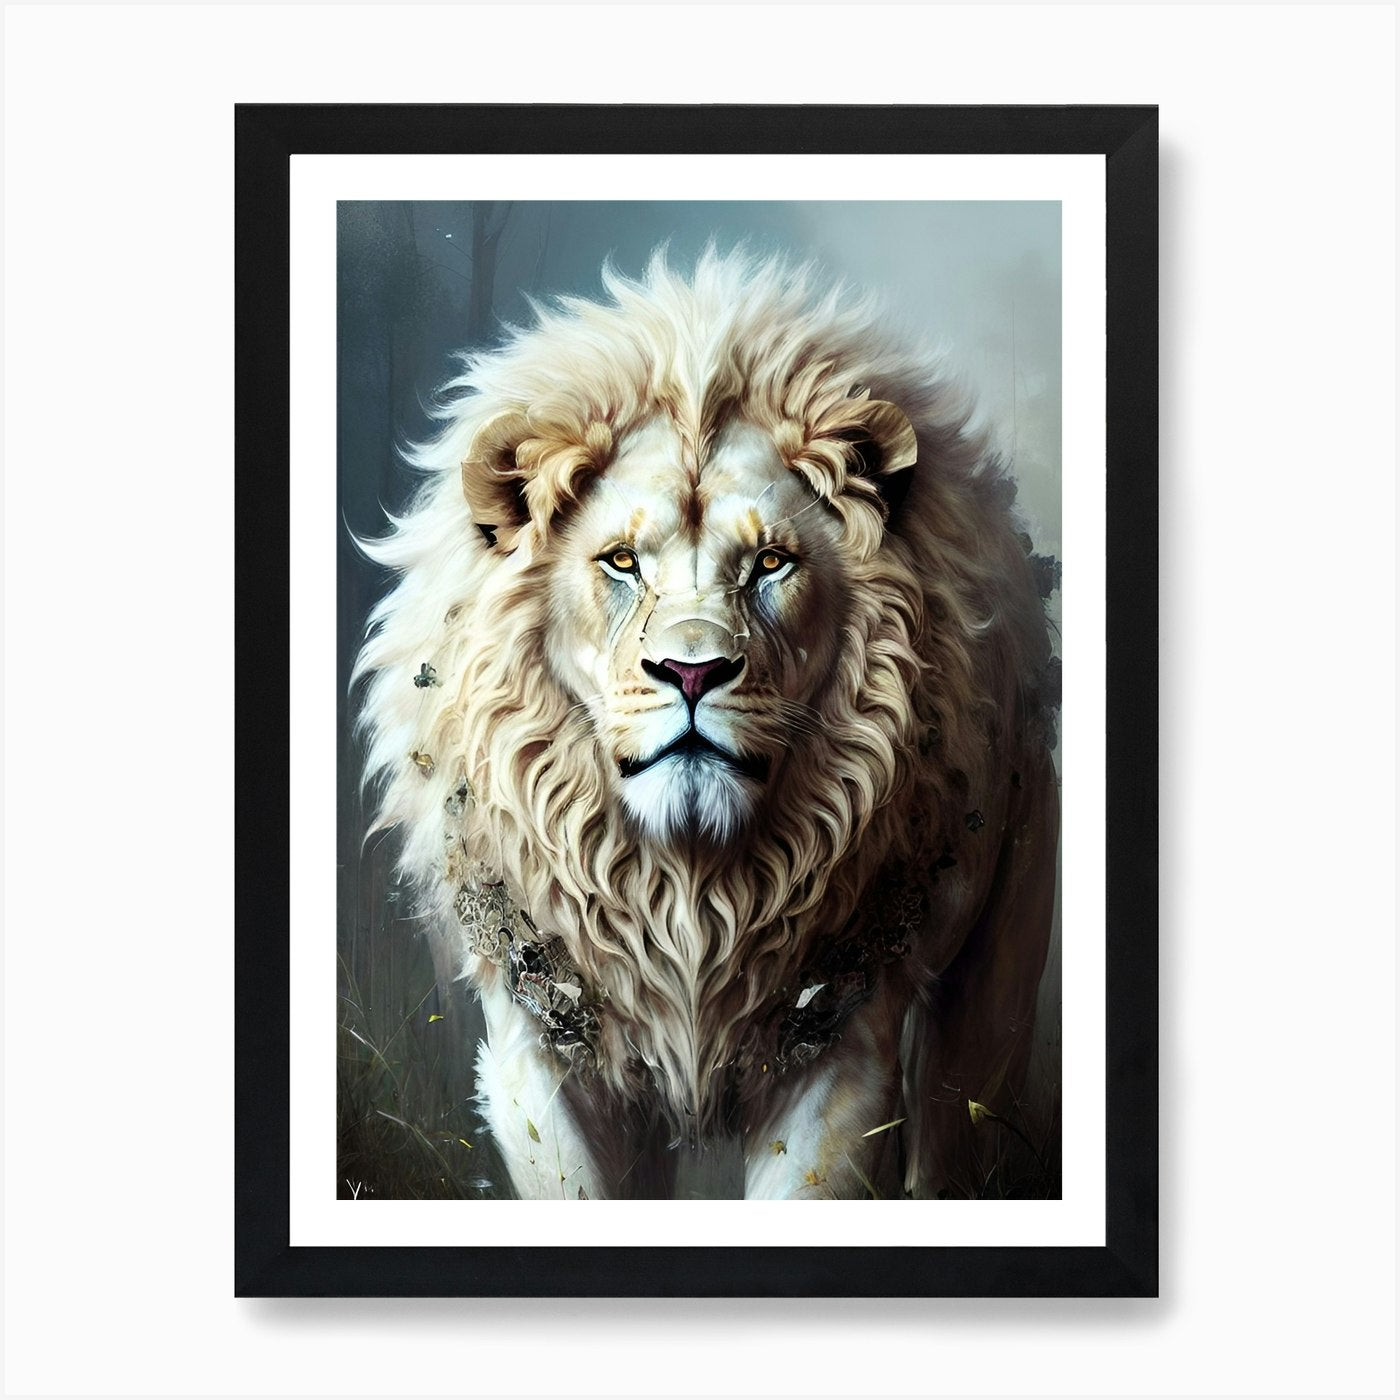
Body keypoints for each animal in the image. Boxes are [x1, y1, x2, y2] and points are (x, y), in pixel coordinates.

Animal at [353, 247, 1060, 1200]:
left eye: (770, 563)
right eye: (621, 561)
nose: (692, 672)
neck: (687, 889)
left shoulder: (838, 1051)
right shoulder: (542, 1051)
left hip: (990, 991)